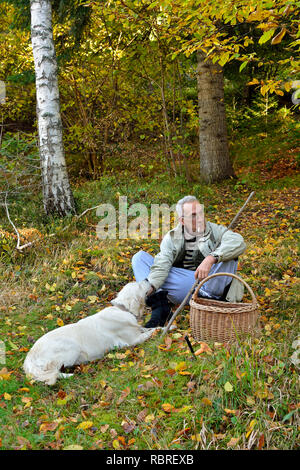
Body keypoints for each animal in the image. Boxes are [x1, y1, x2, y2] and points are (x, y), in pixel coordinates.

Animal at [24, 280, 171, 386]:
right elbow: (153, 331)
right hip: (70, 348)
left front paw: (169, 326)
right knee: (52, 373)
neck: (122, 310)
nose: (146, 278)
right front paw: (167, 328)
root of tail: (29, 358)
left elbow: (151, 328)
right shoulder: (134, 339)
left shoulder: (138, 329)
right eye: (139, 285)